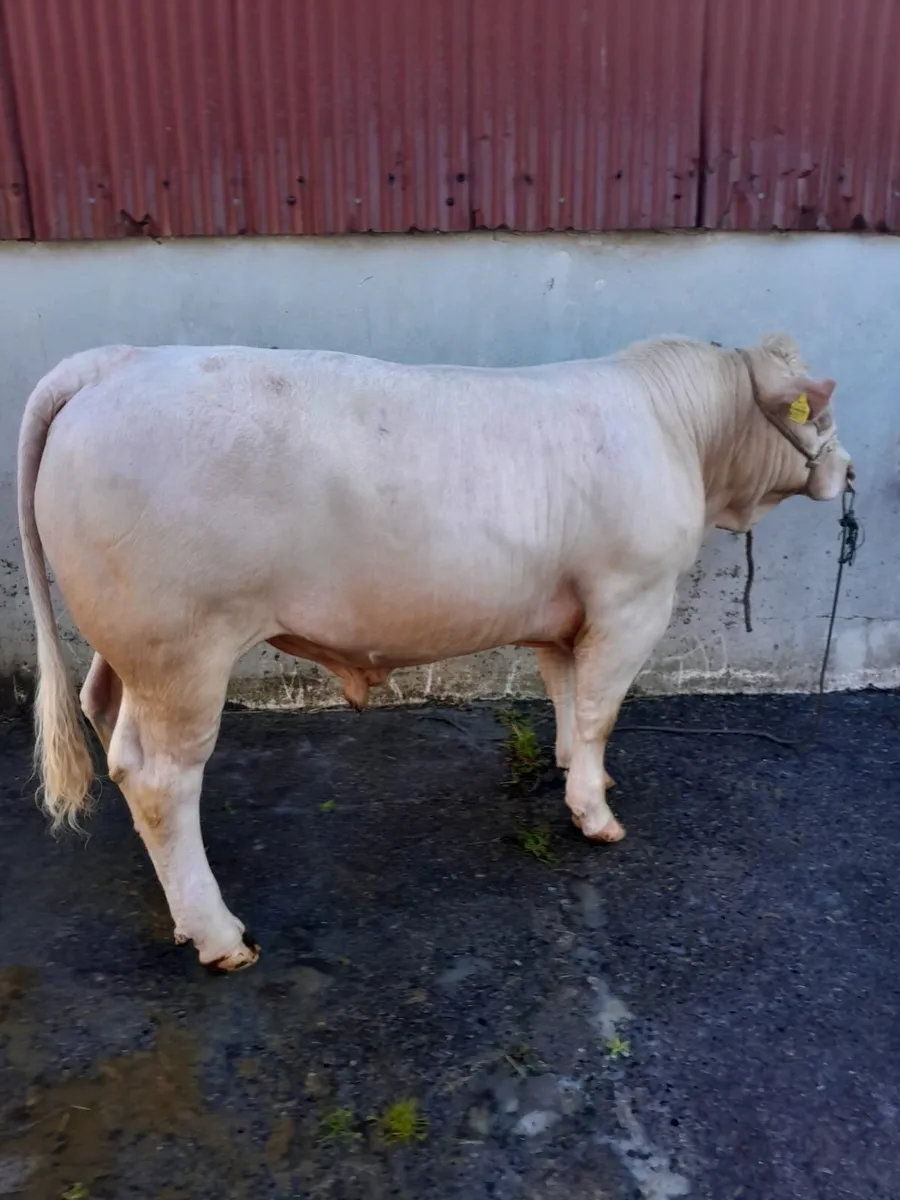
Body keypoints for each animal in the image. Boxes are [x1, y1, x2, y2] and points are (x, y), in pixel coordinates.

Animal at [17, 334, 853, 971]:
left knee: (112, 726)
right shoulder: (632, 598)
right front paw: (596, 814)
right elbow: (600, 710)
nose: (847, 472)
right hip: (184, 645)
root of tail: (113, 362)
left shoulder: (565, 612)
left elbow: (566, 695)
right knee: (161, 776)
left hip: (132, 644)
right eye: (823, 413)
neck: (685, 435)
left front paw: (574, 773)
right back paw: (221, 934)